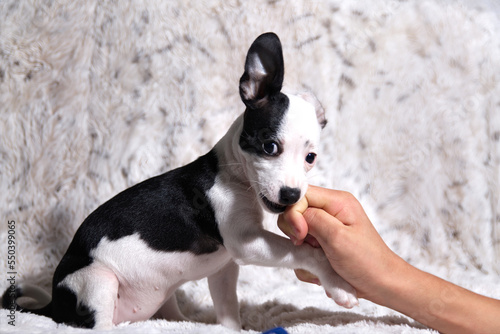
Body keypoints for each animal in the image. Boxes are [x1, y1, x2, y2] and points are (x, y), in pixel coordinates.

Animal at [1, 32, 358, 330]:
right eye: (270, 147)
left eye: (310, 158)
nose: (291, 195)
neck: (234, 175)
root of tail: (53, 305)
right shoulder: (245, 243)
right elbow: (306, 252)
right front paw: (338, 284)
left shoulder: (224, 269)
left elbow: (228, 310)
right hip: (96, 280)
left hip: (159, 296)